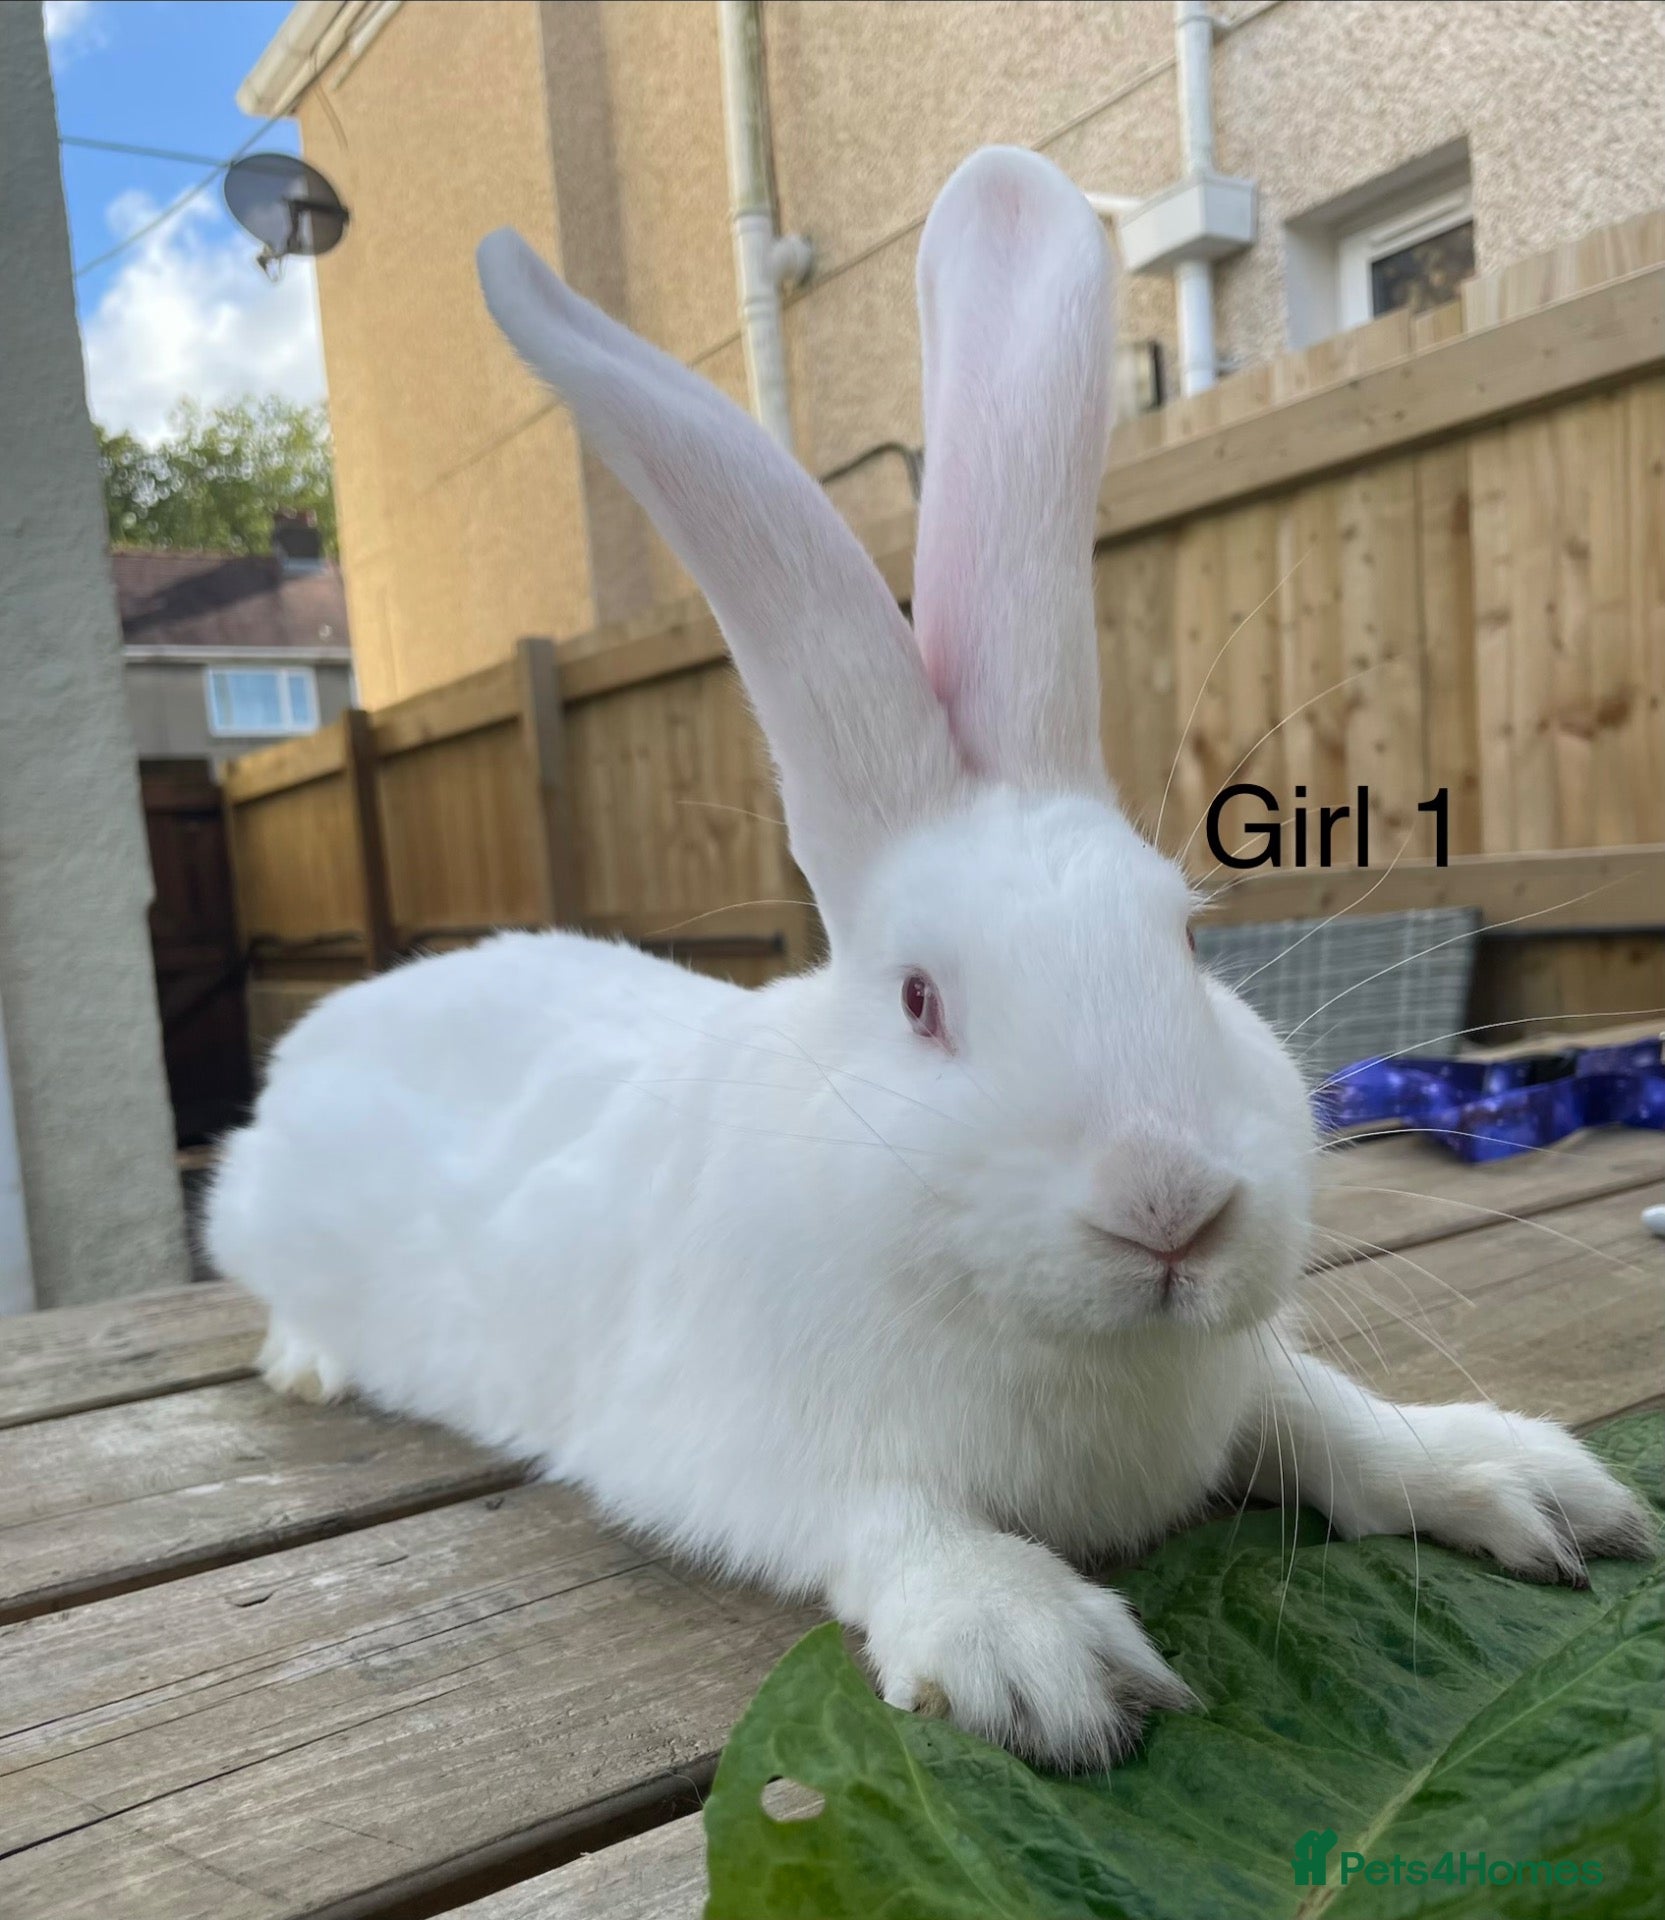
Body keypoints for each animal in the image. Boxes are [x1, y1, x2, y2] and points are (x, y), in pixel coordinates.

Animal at [206, 147, 1653, 1771]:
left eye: (1187, 940)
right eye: (919, 1002)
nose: (1170, 1210)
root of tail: (337, 1025)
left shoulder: (1247, 1385)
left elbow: (1331, 1420)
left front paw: (1523, 1485)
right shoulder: (745, 1450)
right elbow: (896, 1522)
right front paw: (1036, 1655)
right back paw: (308, 1362)